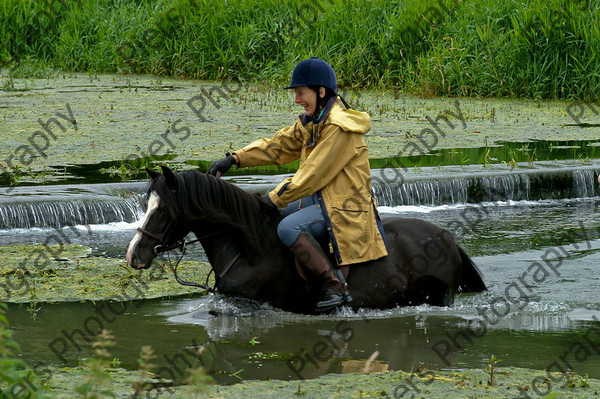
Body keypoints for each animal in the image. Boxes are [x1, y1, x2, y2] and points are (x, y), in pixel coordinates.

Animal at [126, 167, 488, 314]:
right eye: (145, 204)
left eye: (163, 210)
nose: (134, 255)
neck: (250, 249)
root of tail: (447, 238)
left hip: (438, 296)